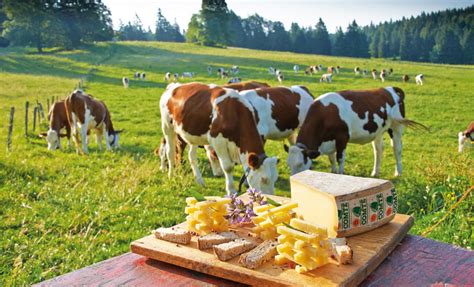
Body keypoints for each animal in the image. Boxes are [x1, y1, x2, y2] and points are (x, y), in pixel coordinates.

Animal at [286, 87, 430, 178]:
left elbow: (339, 158)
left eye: (300, 164)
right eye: (288, 165)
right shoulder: (328, 141)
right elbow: (331, 159)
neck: (325, 114)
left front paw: (340, 174)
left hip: (396, 127)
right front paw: (332, 173)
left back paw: (398, 172)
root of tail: (390, 89)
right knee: (378, 149)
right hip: (378, 131)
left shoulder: (342, 137)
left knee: (397, 148)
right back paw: (375, 172)